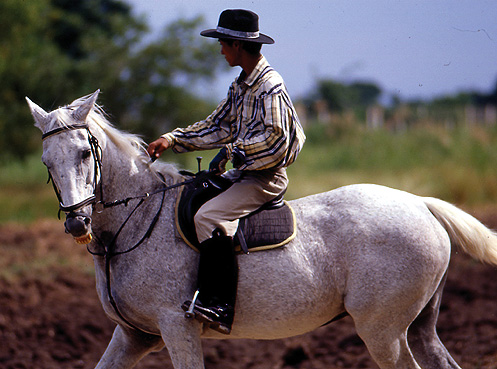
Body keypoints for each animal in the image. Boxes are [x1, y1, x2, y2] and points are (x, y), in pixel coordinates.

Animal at [26, 90, 496, 368]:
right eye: (47, 161)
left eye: (85, 153)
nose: (77, 222)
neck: (137, 221)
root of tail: (421, 203)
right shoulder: (132, 337)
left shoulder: (177, 329)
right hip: (417, 329)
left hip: (384, 333)